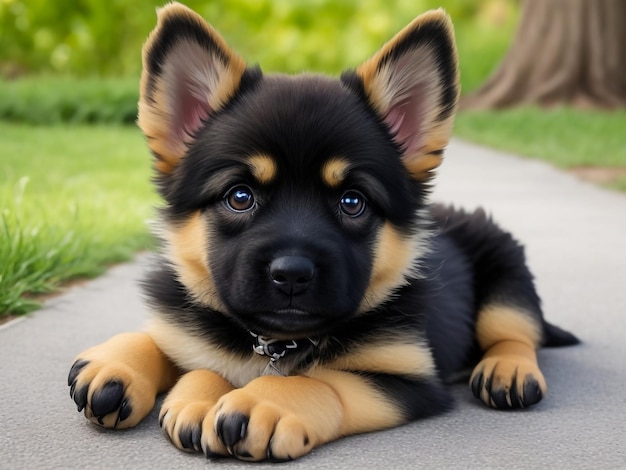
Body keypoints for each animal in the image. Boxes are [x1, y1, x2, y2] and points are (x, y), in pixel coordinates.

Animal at [67, 1, 576, 460]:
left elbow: (325, 381)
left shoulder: (410, 379)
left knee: (515, 332)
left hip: (506, 277)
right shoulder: (183, 325)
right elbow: (171, 344)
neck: (273, 343)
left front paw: (263, 402)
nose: (292, 274)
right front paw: (123, 362)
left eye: (352, 202)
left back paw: (507, 370)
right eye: (239, 196)